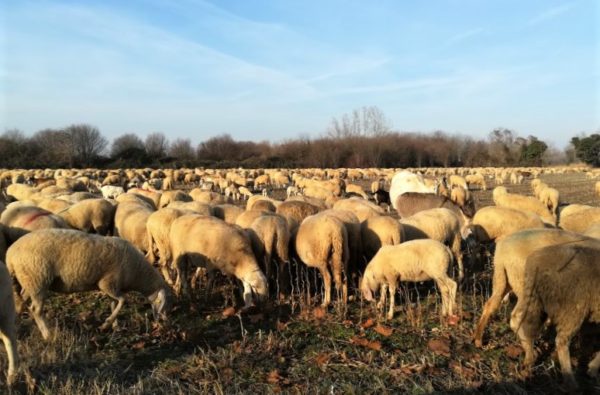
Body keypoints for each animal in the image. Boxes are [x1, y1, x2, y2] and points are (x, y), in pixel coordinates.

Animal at [5, 230, 171, 342]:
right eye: (162, 303)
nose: (164, 321)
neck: (138, 272)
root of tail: (10, 256)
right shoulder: (107, 283)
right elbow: (123, 300)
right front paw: (106, 324)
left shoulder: (113, 287)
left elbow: (115, 303)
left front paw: (115, 326)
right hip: (38, 279)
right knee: (36, 310)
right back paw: (48, 335)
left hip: (28, 281)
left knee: (20, 303)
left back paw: (16, 326)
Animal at [508, 243, 600, 392]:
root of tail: (538, 264)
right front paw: (592, 369)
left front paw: (592, 368)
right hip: (573, 307)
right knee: (561, 341)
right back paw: (570, 382)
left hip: (533, 296)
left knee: (519, 320)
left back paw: (529, 357)